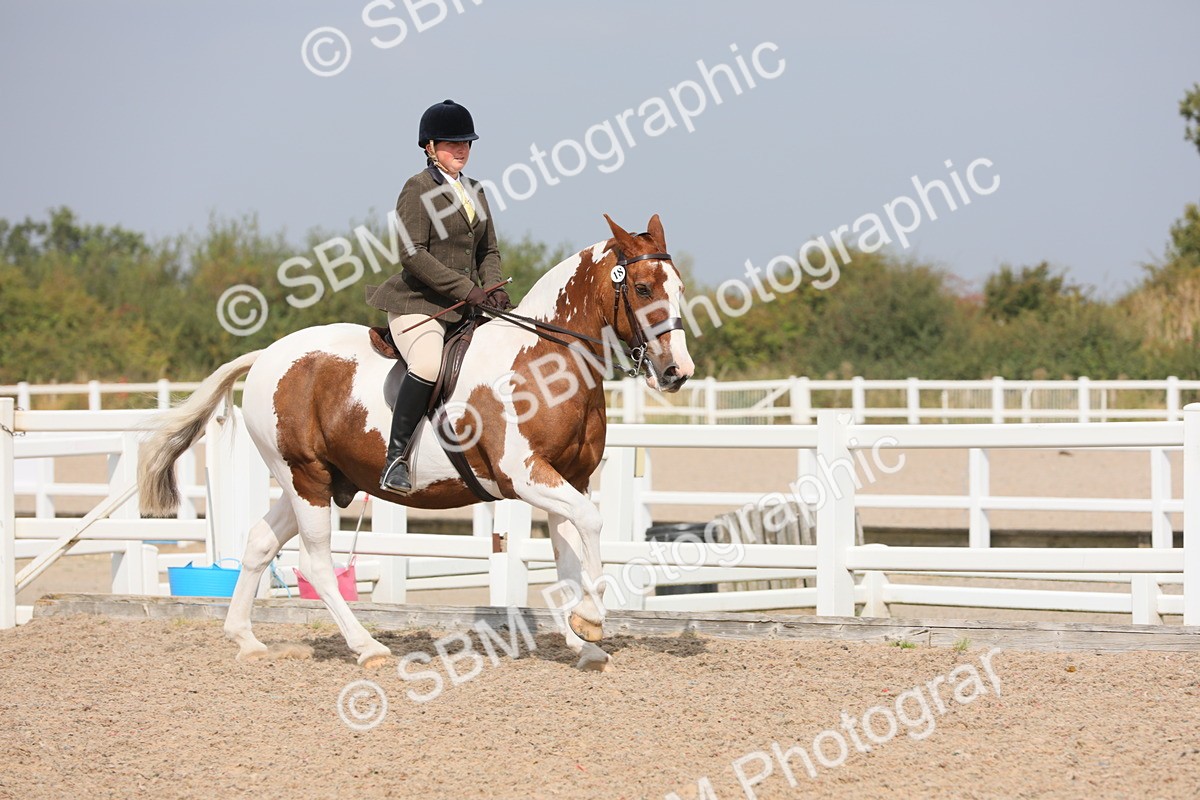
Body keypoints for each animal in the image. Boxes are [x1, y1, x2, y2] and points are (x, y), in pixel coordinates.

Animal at [137, 214, 694, 671]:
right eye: (642, 287)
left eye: (679, 287)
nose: (677, 372)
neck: (544, 363)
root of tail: (268, 356)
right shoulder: (525, 476)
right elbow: (592, 527)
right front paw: (592, 623)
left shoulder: (568, 480)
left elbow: (570, 557)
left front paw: (583, 640)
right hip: (305, 478)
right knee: (316, 564)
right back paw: (367, 648)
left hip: (312, 480)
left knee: (258, 542)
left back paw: (246, 639)